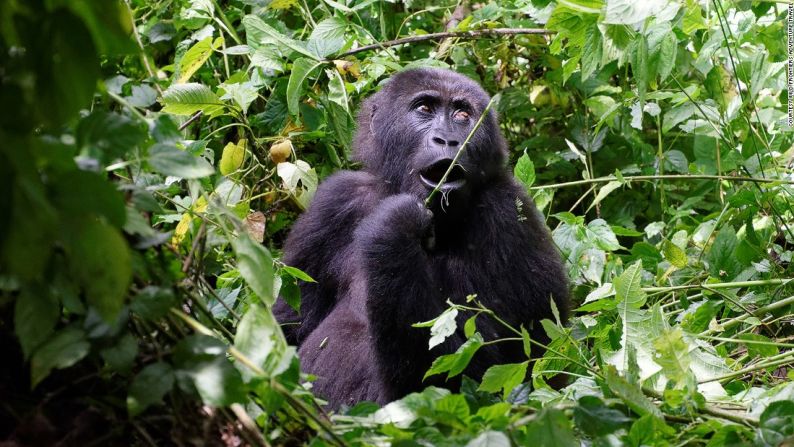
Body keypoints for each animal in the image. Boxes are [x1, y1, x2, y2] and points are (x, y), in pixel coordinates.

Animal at [274, 67, 568, 410]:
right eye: (424, 109)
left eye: (462, 115)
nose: (448, 139)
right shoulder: (334, 201)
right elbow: (288, 325)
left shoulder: (508, 213)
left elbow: (484, 372)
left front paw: (395, 227)